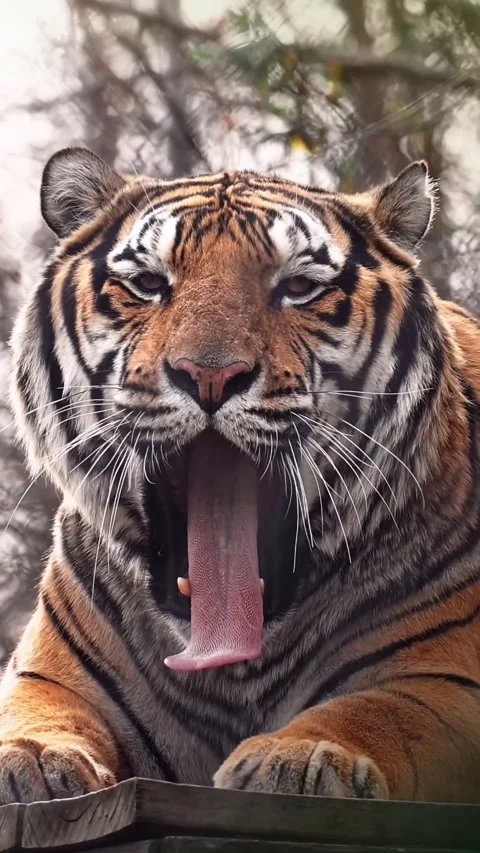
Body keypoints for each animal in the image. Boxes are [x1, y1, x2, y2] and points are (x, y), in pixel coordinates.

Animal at [0, 145, 479, 806]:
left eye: (299, 287)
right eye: (148, 284)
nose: (209, 375)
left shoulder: (444, 679)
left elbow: (381, 711)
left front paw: (299, 757)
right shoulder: (51, 675)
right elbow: (40, 712)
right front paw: (29, 757)